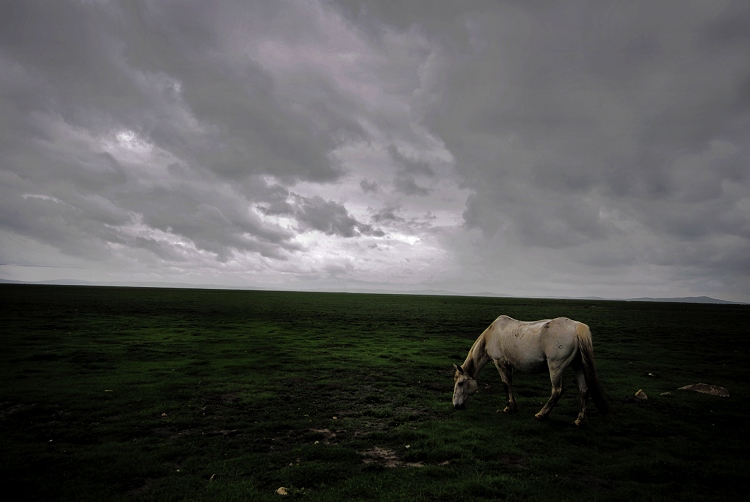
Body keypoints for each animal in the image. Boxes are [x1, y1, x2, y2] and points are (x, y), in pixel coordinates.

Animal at [452, 316, 612, 426]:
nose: (455, 406)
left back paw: (541, 414)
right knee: (584, 390)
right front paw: (513, 407)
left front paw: (508, 408)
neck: (491, 335)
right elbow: (510, 384)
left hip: (556, 367)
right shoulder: (508, 366)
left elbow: (505, 385)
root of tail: (577, 326)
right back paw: (580, 420)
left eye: (460, 383)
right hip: (578, 366)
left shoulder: (500, 363)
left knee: (557, 390)